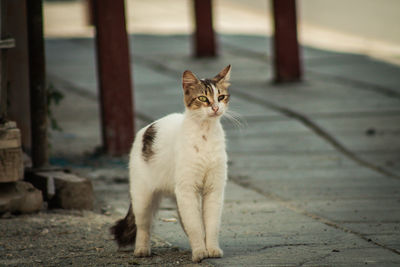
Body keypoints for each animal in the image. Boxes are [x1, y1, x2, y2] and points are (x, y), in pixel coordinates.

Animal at [111, 65, 233, 264]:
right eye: (203, 98)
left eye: (221, 97)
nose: (215, 108)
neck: (205, 135)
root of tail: (145, 129)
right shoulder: (187, 189)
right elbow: (195, 225)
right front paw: (200, 252)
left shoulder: (213, 189)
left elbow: (210, 223)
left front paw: (211, 249)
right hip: (143, 197)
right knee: (143, 225)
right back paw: (142, 250)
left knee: (186, 221)